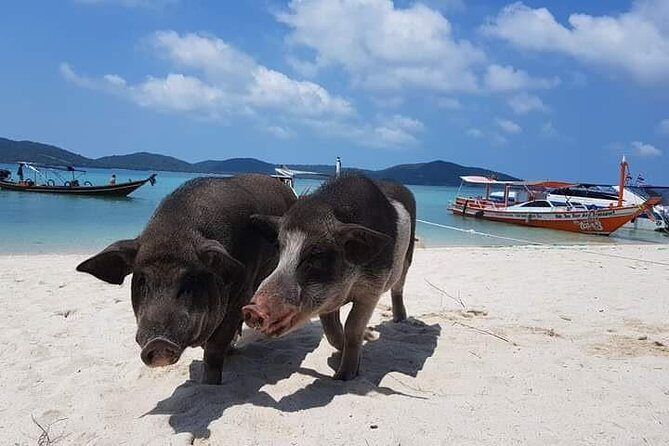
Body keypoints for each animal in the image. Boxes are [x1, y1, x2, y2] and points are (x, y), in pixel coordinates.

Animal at [76, 174, 296, 384]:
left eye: (190, 279)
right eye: (142, 281)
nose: (158, 342)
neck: (175, 233)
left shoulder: (242, 291)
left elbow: (214, 349)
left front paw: (210, 384)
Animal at [243, 174, 415, 380]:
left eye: (316, 255)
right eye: (279, 247)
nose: (251, 309)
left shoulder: (373, 288)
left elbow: (352, 328)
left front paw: (345, 376)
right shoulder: (326, 299)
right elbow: (332, 331)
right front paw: (343, 357)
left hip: (407, 258)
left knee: (399, 286)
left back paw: (400, 319)